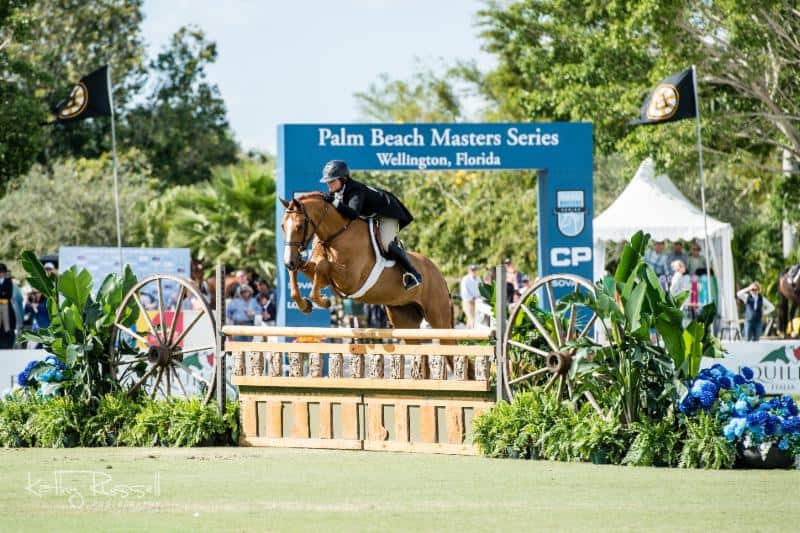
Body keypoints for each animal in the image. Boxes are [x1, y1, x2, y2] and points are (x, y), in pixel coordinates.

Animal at [278, 193, 454, 330]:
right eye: (282, 226)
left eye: (300, 226)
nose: (288, 261)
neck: (337, 235)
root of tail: (440, 275)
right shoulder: (327, 278)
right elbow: (306, 270)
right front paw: (305, 304)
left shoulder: (349, 280)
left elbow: (322, 265)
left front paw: (323, 301)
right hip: (404, 318)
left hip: (439, 318)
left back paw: (414, 278)